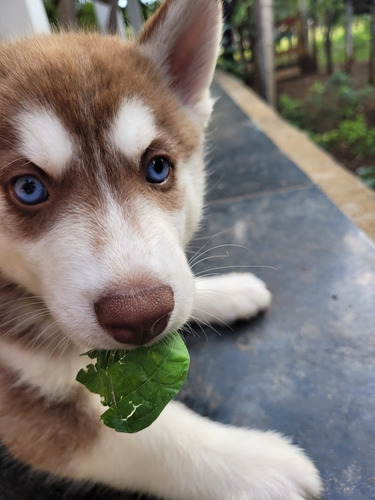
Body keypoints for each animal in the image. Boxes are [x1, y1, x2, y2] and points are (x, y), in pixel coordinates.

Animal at [0, 0, 324, 498]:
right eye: (28, 188)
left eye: (158, 167)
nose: (140, 315)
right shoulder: (21, 404)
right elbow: (141, 440)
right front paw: (258, 466)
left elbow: (183, 290)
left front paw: (227, 292)